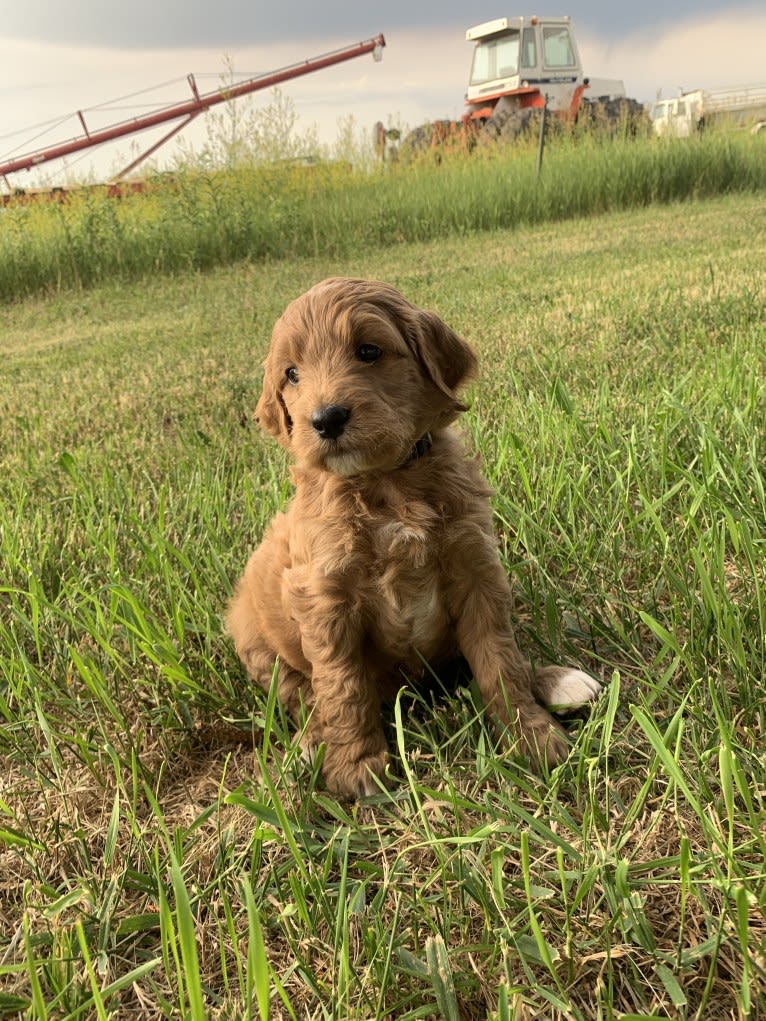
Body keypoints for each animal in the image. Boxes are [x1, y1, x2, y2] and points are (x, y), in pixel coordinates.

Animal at [227, 279, 600, 796]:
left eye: (368, 351)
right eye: (292, 374)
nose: (325, 419)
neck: (386, 482)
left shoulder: (476, 569)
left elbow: (499, 659)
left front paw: (531, 735)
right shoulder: (325, 600)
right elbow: (342, 684)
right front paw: (356, 766)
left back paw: (555, 680)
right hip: (256, 643)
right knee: (302, 694)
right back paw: (311, 741)